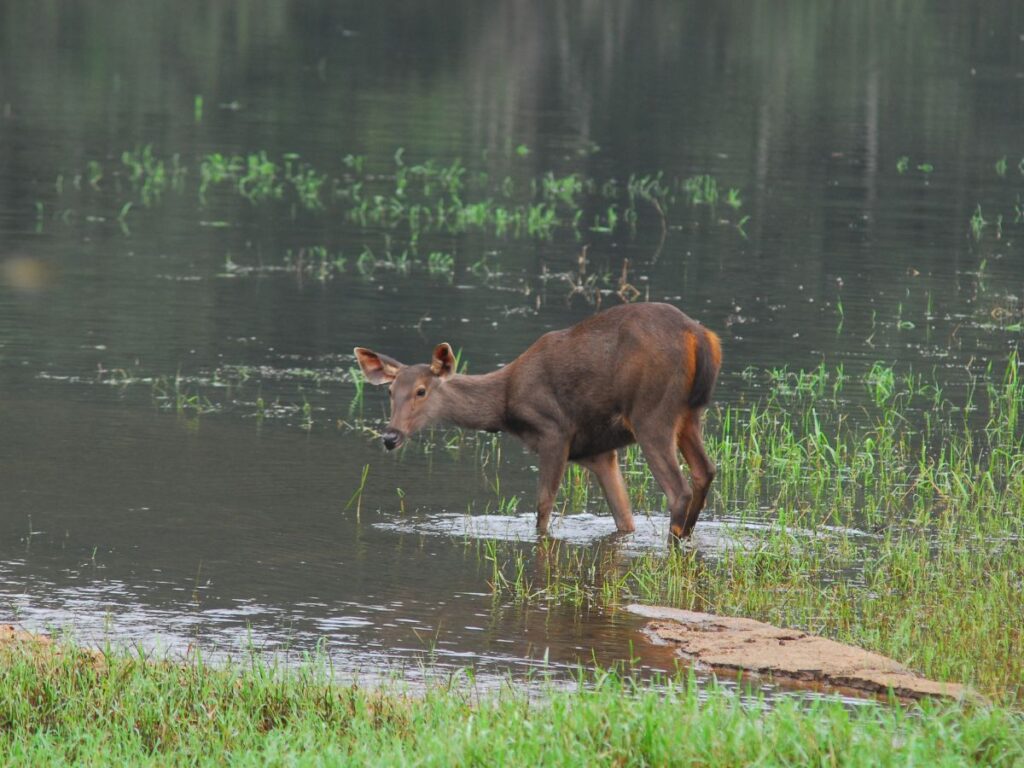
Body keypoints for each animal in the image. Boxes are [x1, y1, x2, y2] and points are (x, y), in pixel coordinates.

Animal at [356, 303, 724, 540]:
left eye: (421, 391)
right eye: (390, 391)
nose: (390, 436)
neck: (504, 406)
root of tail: (700, 335)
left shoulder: (554, 433)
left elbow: (543, 507)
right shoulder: (598, 453)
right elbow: (624, 519)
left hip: (652, 413)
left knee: (678, 489)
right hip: (689, 415)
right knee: (705, 470)